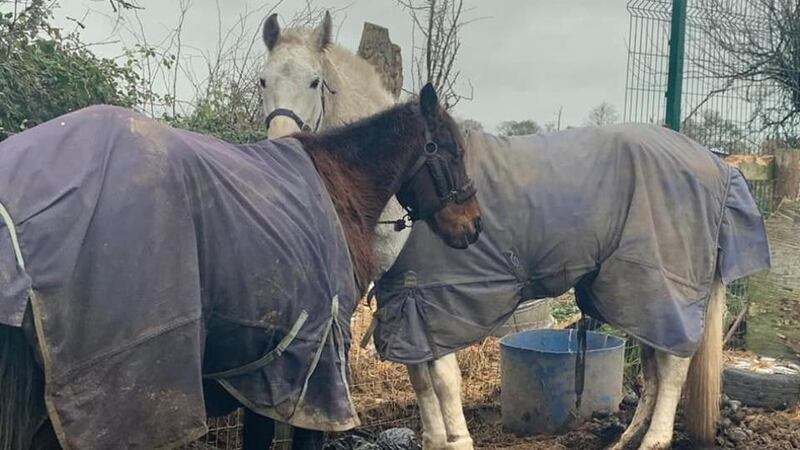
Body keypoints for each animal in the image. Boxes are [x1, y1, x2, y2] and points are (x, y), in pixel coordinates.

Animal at [259, 13, 771, 450]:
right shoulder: (406, 304)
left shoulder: (434, 303)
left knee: (675, 365)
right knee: (655, 363)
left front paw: (457, 439)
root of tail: (716, 164)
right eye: (263, 81)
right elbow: (421, 382)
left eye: (315, 81)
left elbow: (443, 381)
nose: (279, 151)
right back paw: (628, 438)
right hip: (637, 292)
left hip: (659, 284)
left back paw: (655, 441)